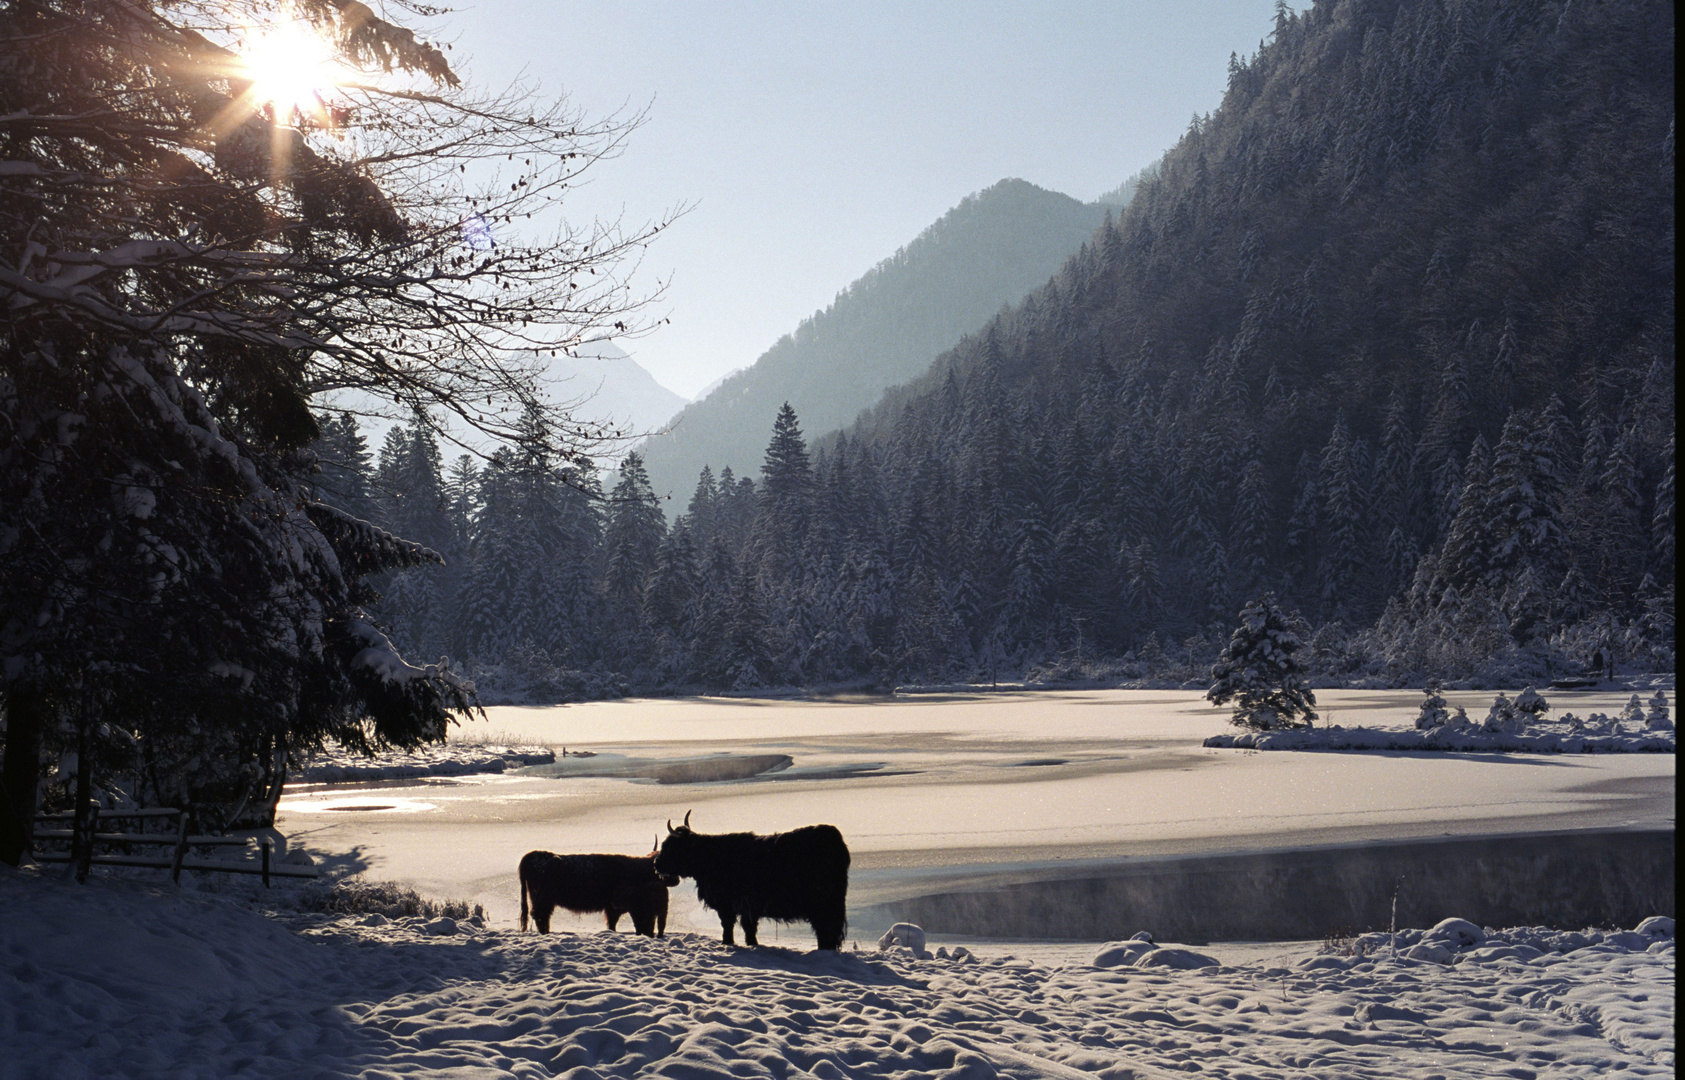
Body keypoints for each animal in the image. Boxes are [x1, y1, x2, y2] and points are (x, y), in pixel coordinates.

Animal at [650, 812, 849, 950]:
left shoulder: (727, 905)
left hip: (824, 906)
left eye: (669, 846)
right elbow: (749, 929)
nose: (656, 863)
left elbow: (728, 926)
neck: (710, 857)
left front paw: (727, 943)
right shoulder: (748, 909)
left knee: (826, 930)